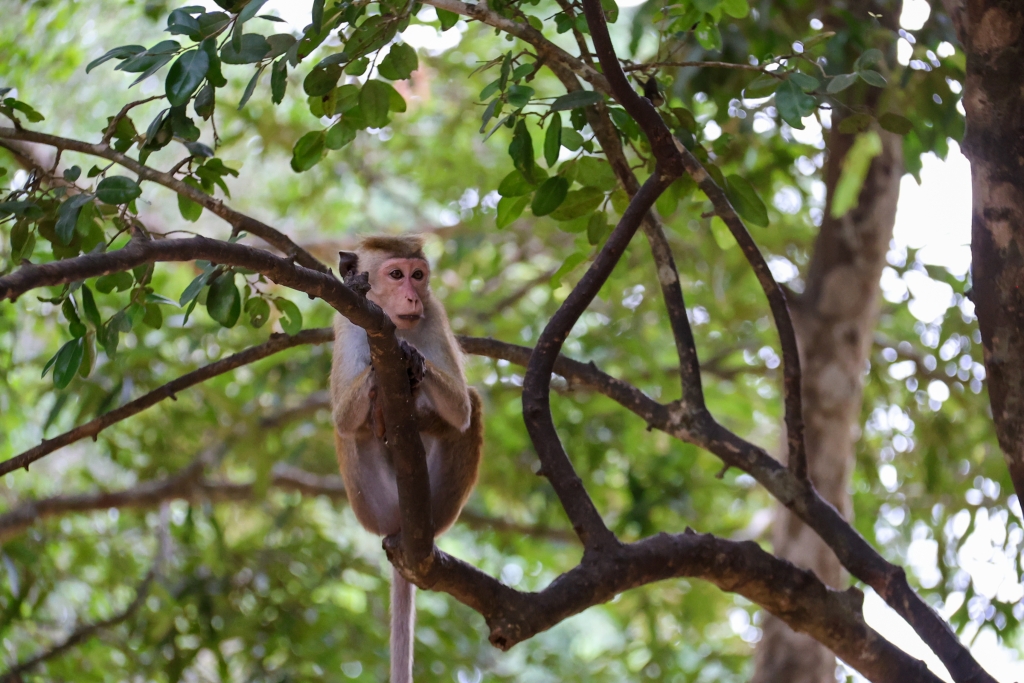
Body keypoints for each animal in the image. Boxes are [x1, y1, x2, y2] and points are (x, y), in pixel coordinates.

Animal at [330, 234, 483, 683]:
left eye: (418, 275)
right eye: (396, 274)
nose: (412, 296)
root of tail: (404, 526)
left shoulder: (434, 315)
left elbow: (461, 410)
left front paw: (413, 363)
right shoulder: (349, 323)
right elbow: (342, 419)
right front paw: (380, 381)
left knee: (473, 403)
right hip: (373, 506)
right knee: (353, 430)